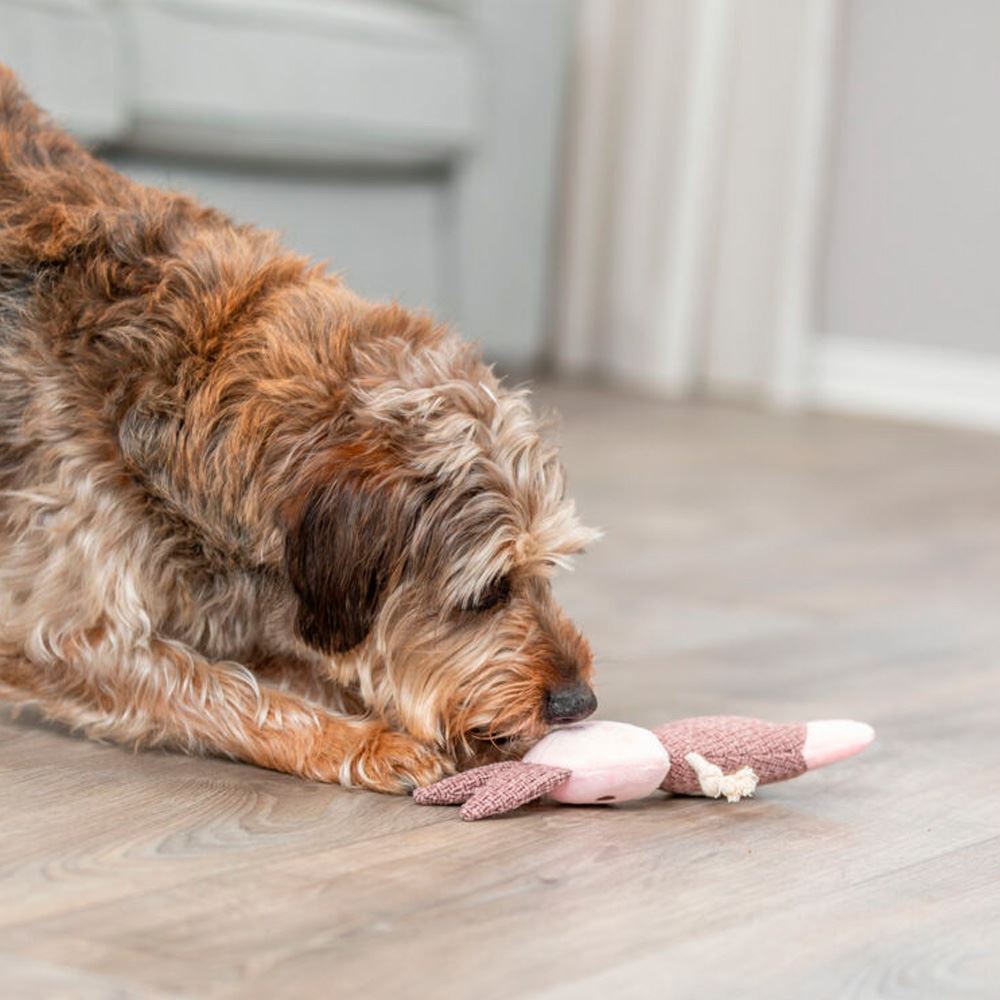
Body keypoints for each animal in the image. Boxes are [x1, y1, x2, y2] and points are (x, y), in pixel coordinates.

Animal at [0, 66, 596, 792]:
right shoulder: (59, 634)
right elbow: (222, 693)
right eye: (485, 593)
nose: (579, 702)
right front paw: (367, 742)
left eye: (547, 569)